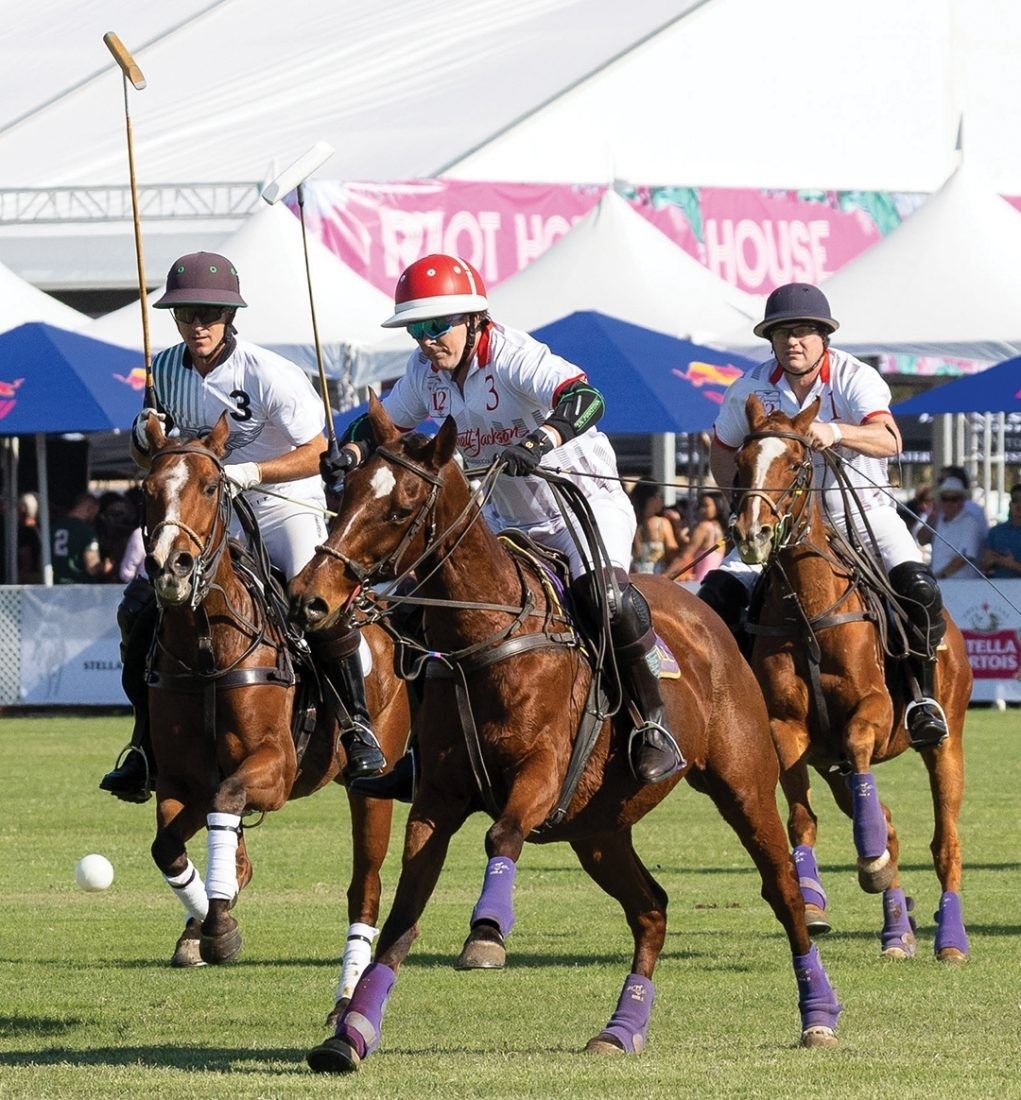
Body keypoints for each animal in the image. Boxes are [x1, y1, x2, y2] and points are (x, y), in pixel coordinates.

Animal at [140, 413, 411, 1012]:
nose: (171, 568)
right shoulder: (178, 778)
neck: (207, 649)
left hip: (372, 780)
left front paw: (219, 927)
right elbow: (168, 844)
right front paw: (208, 919)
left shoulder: (277, 767)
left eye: (211, 487)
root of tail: (378, 611)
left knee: (367, 882)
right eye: (147, 489)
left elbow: (224, 800)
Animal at [288, 398, 844, 1073]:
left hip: (743, 784)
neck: (487, 637)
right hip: (598, 828)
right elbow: (402, 917)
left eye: (399, 509)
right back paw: (622, 1028)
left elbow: (501, 834)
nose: (309, 600)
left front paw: (486, 930)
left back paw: (819, 1017)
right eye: (344, 495)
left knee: (781, 889)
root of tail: (706, 610)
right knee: (650, 908)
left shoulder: (542, 771)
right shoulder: (436, 799)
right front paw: (348, 1035)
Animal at [734, 398, 972, 963]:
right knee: (890, 826)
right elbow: (800, 815)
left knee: (945, 843)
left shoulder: (874, 710)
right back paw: (896, 932)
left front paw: (868, 861)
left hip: (946, 741)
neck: (810, 610)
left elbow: (861, 741)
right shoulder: (786, 725)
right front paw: (811, 900)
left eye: (797, 465)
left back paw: (949, 941)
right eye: (741, 462)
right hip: (830, 764)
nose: (752, 535)